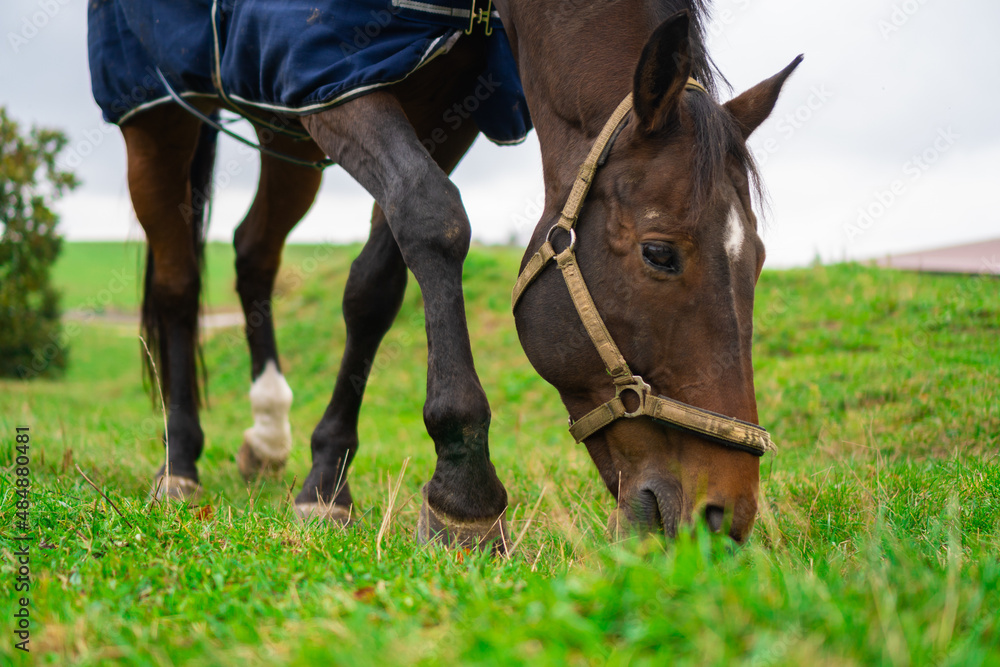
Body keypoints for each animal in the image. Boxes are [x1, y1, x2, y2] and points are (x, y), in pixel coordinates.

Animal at [88, 0, 800, 552]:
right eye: (659, 253)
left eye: (760, 258)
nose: (723, 515)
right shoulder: (332, 75)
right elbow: (434, 218)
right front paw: (466, 493)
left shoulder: (438, 95)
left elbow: (374, 288)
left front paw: (327, 479)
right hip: (155, 113)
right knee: (178, 278)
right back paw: (180, 461)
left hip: (276, 120)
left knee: (252, 251)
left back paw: (267, 430)